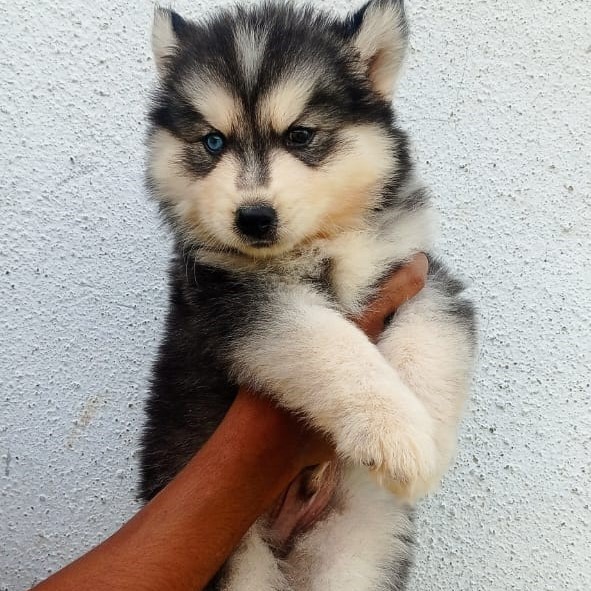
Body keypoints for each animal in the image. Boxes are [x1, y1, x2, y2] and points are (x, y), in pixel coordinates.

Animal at [141, 1, 478, 588]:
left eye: (300, 135)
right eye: (213, 142)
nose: (253, 217)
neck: (321, 243)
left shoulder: (418, 269)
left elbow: (434, 333)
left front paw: (427, 433)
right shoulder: (241, 301)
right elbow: (330, 344)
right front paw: (395, 429)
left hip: (358, 544)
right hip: (237, 560)